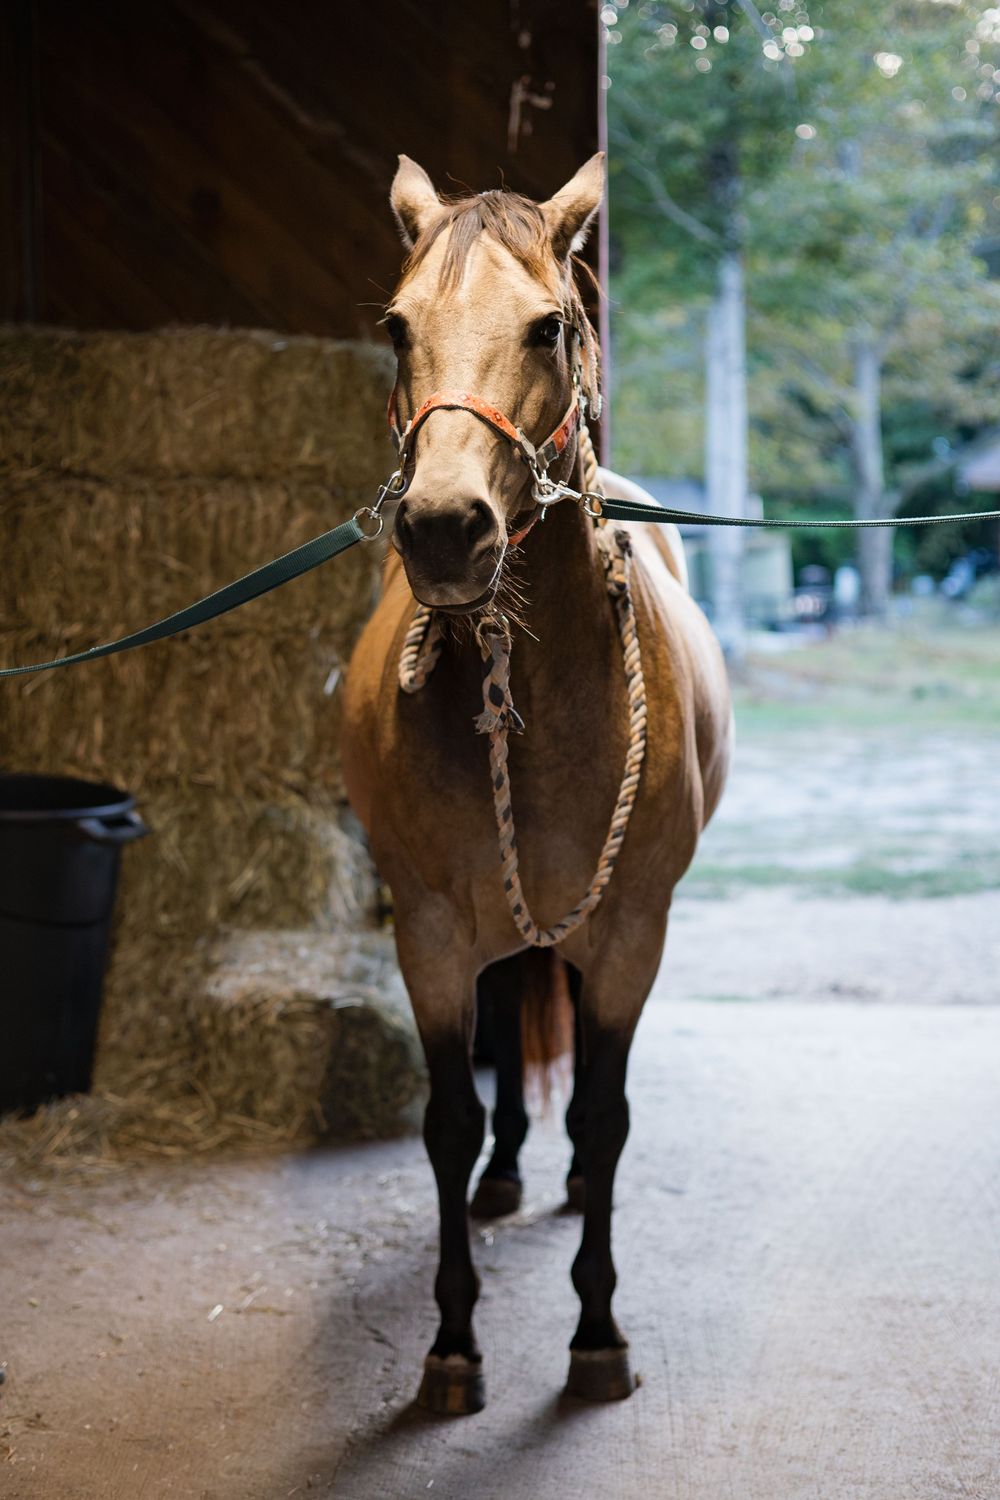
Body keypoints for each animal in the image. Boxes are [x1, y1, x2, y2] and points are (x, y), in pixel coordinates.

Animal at [342, 152, 732, 1415]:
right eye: (396, 325)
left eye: (547, 325)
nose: (442, 529)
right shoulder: (426, 934)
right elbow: (448, 1119)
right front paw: (453, 1343)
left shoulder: (631, 932)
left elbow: (605, 1120)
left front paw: (596, 1330)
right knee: (511, 1009)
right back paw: (511, 1173)